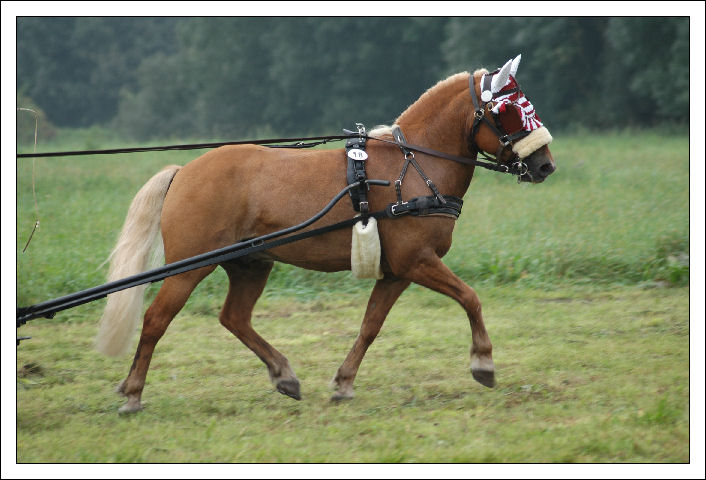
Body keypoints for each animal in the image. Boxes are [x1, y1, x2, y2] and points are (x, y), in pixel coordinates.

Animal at [95, 54, 556, 410]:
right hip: (189, 267)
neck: (412, 166)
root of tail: (184, 171)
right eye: (510, 109)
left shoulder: (397, 272)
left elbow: (371, 325)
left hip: (250, 263)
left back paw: (282, 373)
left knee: (234, 317)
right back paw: (133, 393)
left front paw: (344, 382)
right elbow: (470, 297)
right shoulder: (418, 262)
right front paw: (483, 363)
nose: (545, 165)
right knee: (156, 319)